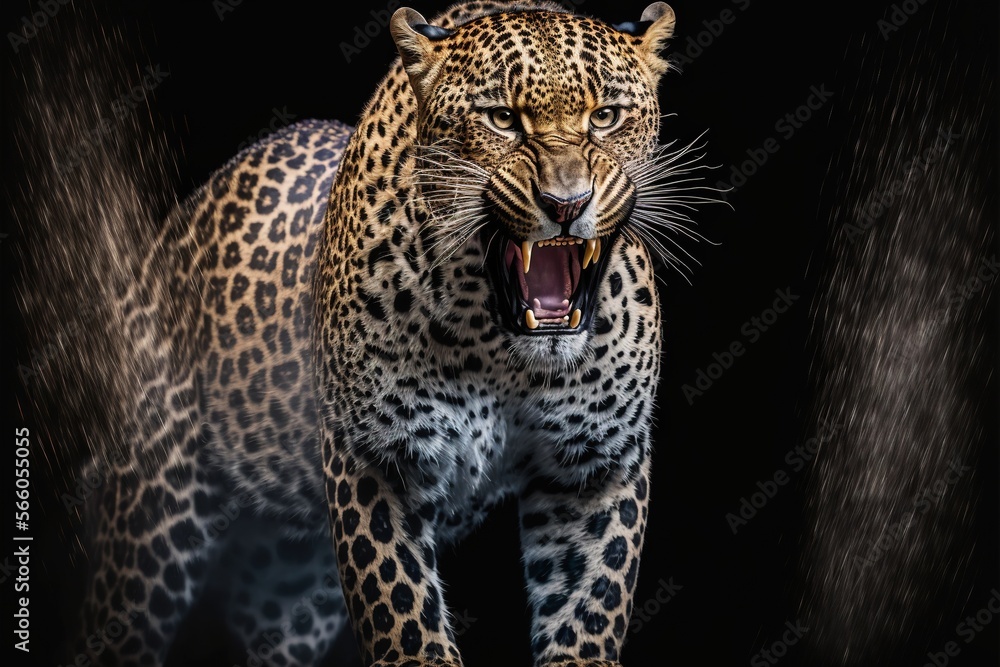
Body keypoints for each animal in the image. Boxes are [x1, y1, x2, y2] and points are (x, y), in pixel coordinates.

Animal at [24, 1, 710, 665]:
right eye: (501, 119)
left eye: (606, 116)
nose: (567, 203)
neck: (499, 350)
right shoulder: (377, 460)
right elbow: (404, 620)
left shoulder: (595, 469)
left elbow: (588, 615)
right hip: (154, 502)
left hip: (289, 583)